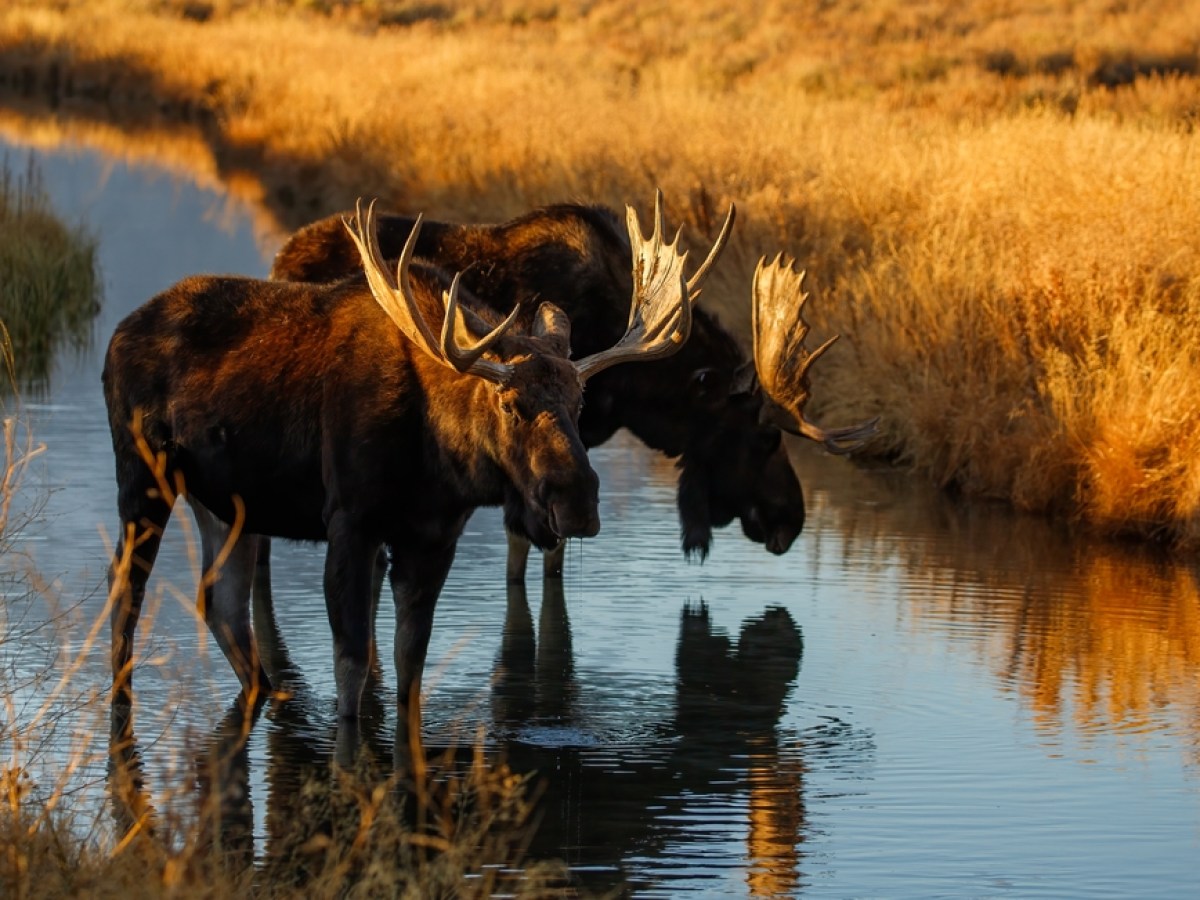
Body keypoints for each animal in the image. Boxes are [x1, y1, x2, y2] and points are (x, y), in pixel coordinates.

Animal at [103, 193, 722, 736]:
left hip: (227, 504)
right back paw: (121, 704)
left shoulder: (434, 536)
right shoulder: (350, 522)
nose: (577, 500)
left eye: (579, 403)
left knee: (221, 602)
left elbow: (410, 668)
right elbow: (353, 672)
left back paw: (262, 693)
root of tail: (117, 333)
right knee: (126, 588)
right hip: (143, 478)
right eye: (510, 404)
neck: (438, 458)